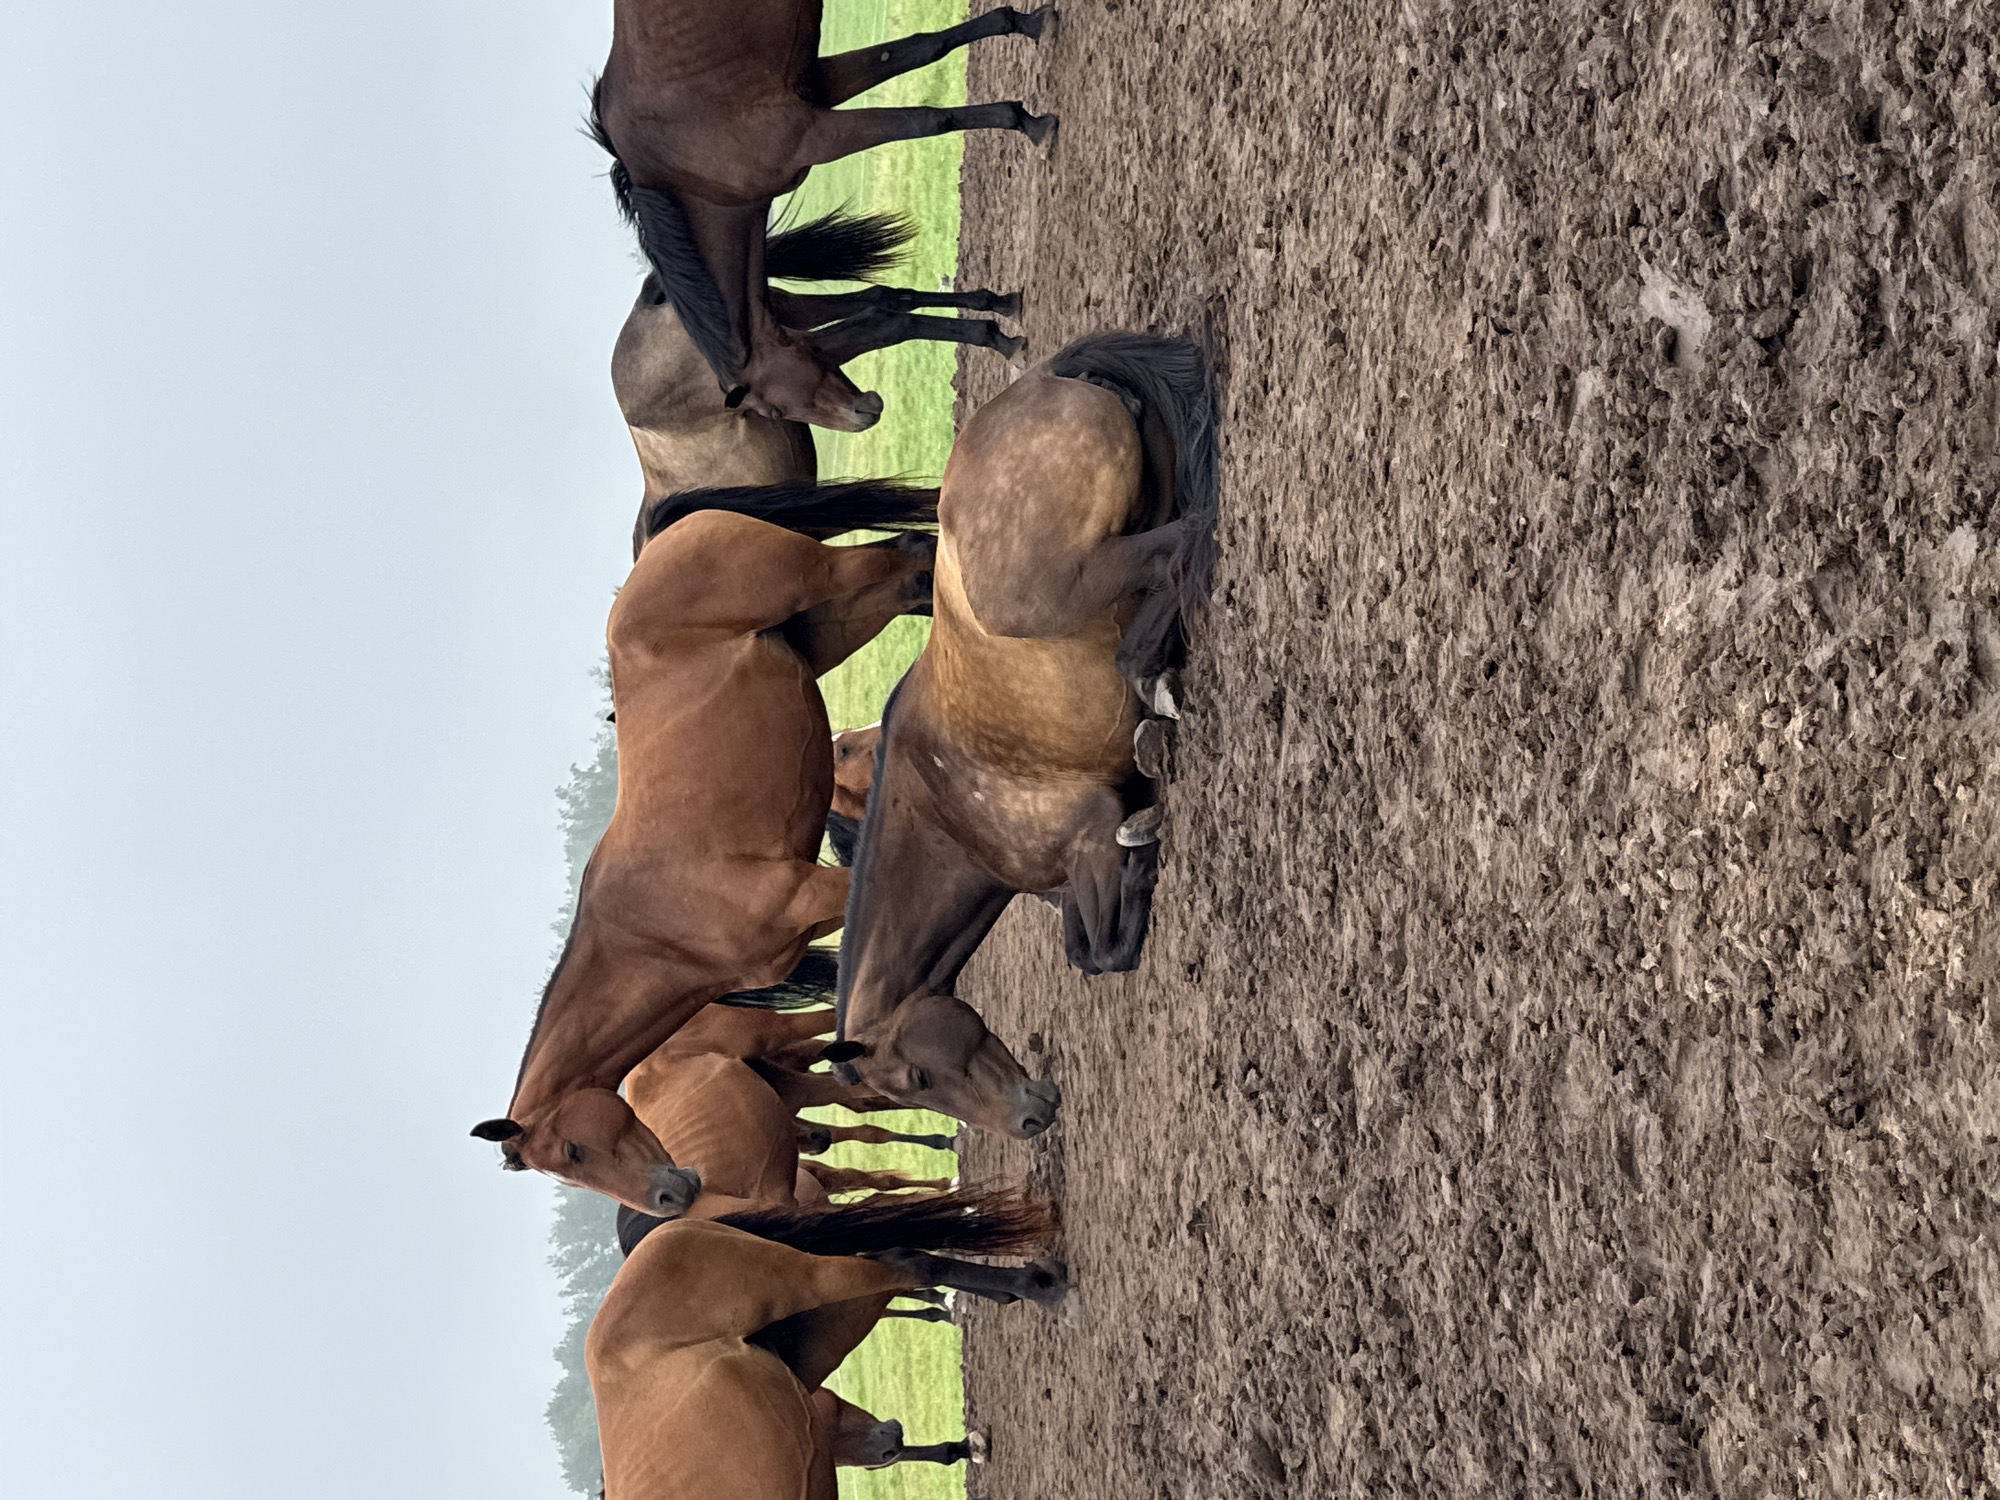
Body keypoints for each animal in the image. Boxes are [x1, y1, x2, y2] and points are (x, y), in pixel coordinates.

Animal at [471, 483, 943, 1212]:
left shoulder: (815, 887)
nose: (672, 1199)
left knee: (910, 554)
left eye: (572, 1152)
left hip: (823, 578)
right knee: (913, 569)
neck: (655, 929)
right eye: (569, 1171)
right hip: (841, 617)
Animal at [590, 0, 1055, 429]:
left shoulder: (816, 134)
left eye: (774, 412)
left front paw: (1029, 121)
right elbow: (925, 47)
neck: (689, 170)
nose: (862, 416)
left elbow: (928, 118)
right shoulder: (820, 86)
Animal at [615, 209, 1022, 556]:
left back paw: (1000, 329)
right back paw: (999, 305)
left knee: (883, 314)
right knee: (885, 299)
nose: (863, 412)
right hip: (794, 315)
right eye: (775, 414)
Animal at [823, 332, 1217, 1134]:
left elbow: (1103, 952)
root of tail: (1041, 379)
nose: (1030, 1120)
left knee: (1179, 552)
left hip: (1077, 579)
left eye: (914, 1079)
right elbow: (1082, 944)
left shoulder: (1092, 837)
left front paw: (1145, 858)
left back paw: (1152, 693)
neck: (945, 809)